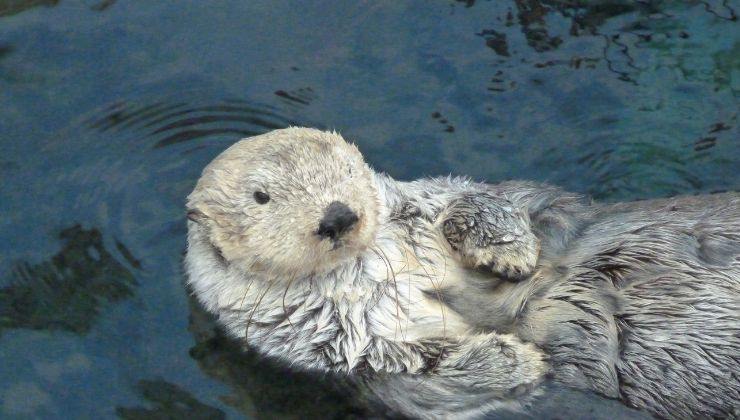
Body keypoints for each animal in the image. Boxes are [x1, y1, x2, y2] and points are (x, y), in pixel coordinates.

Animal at [186, 126, 740, 418]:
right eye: (261, 197)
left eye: (344, 170)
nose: (338, 216)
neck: (367, 266)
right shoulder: (324, 343)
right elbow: (414, 367)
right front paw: (520, 358)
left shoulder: (422, 199)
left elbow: (476, 199)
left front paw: (510, 249)